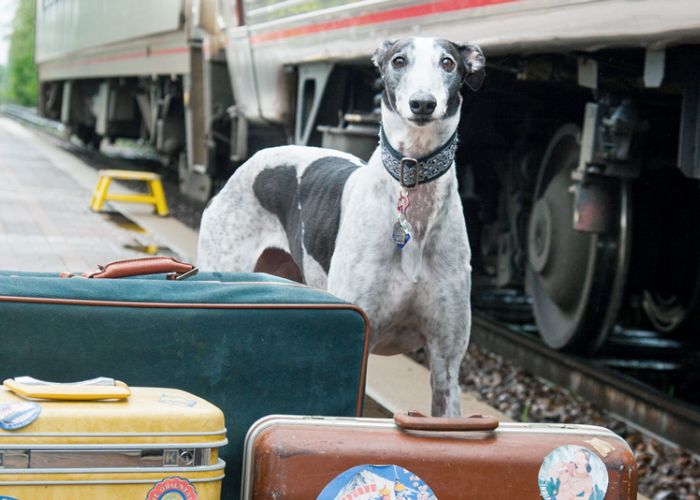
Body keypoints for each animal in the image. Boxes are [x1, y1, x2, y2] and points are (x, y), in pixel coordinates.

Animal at [194, 37, 484, 416]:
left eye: (448, 62)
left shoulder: (446, 362)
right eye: (399, 60)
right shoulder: (360, 340)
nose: (422, 103)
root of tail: (250, 160)